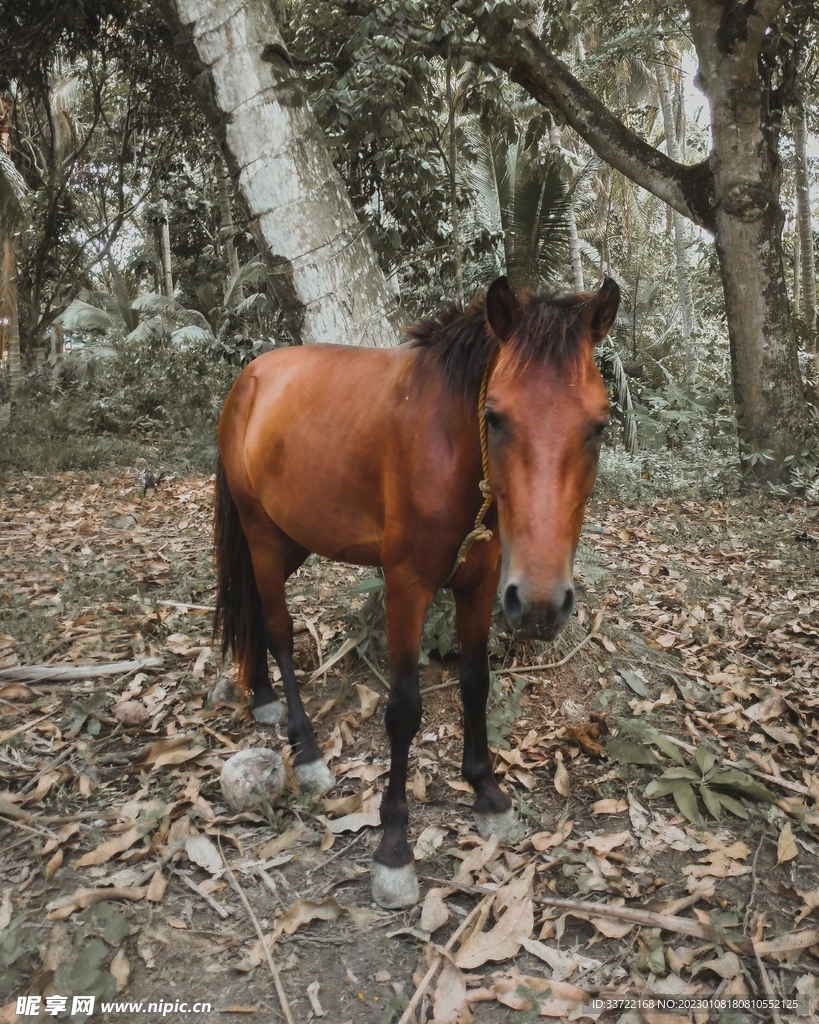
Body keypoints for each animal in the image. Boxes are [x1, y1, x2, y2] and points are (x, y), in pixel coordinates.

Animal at [213, 276, 619, 908]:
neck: (450, 450)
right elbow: (404, 710)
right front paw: (394, 846)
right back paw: (306, 750)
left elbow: (475, 682)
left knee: (256, 608)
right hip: (260, 534)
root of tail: (249, 378)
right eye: (495, 416)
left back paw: (260, 696)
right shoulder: (406, 586)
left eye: (598, 425)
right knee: (277, 628)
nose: (542, 605)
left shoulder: (482, 584)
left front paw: (486, 792)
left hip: (289, 537)